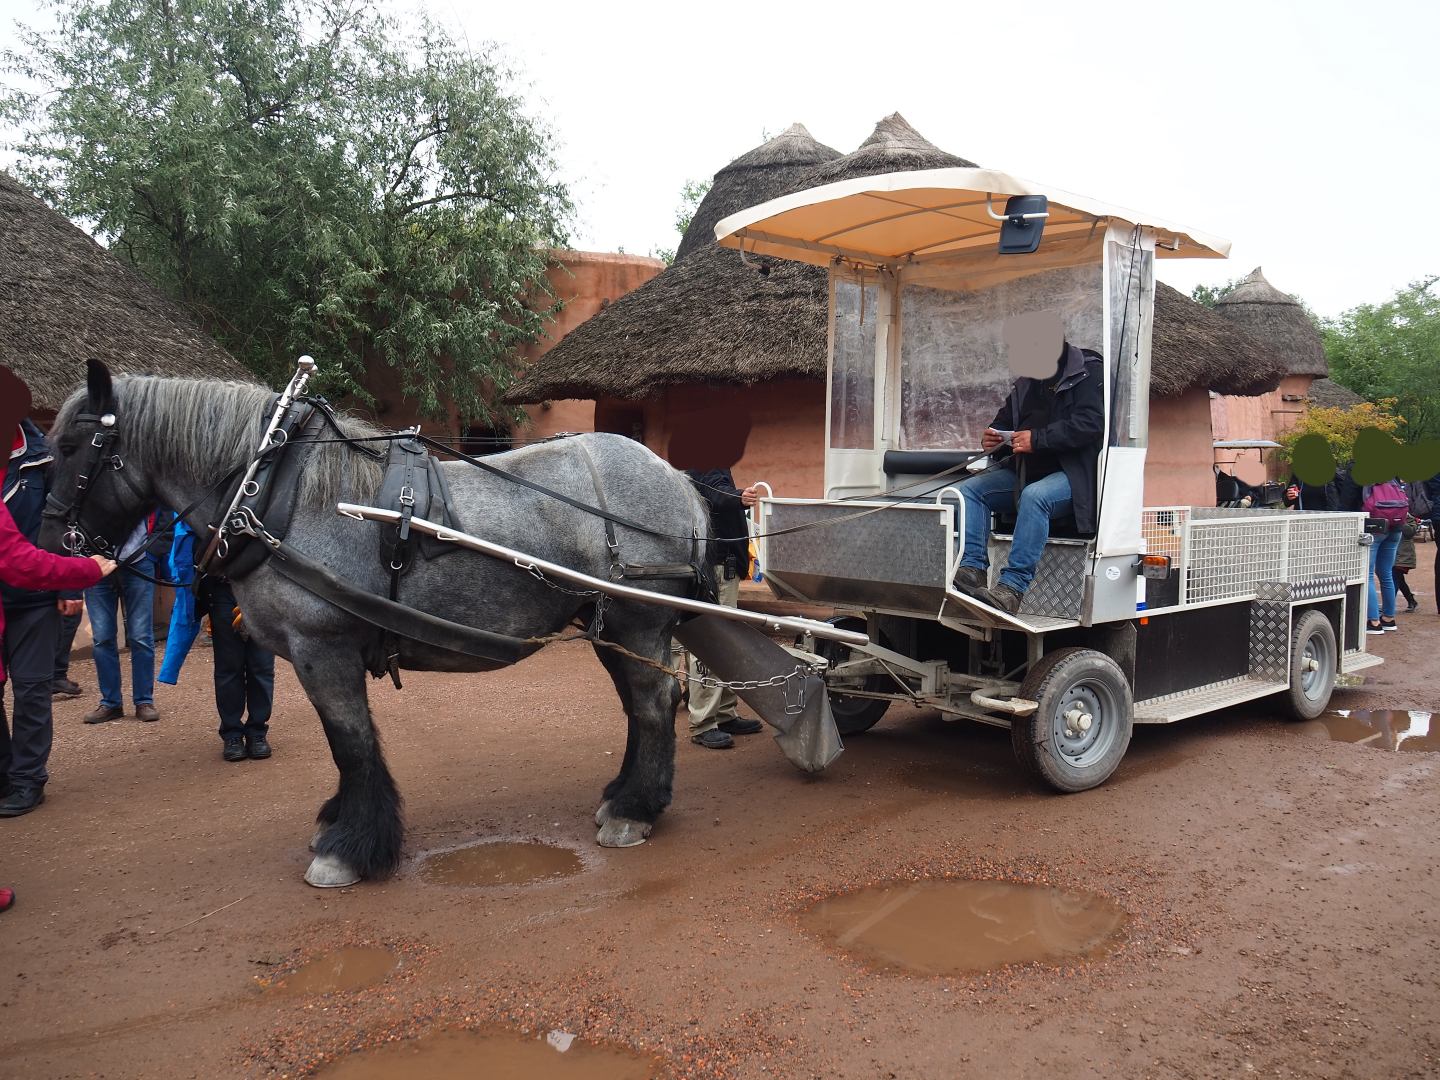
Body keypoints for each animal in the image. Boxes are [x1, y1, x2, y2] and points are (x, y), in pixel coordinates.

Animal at [40, 361, 713, 887]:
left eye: (72, 448)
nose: (48, 543)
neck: (274, 491)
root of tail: (676, 478)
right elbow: (345, 747)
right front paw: (340, 823)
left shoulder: (322, 648)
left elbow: (351, 742)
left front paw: (349, 848)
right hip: (609, 627)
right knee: (640, 703)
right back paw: (623, 796)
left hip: (637, 622)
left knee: (653, 702)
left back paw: (633, 810)